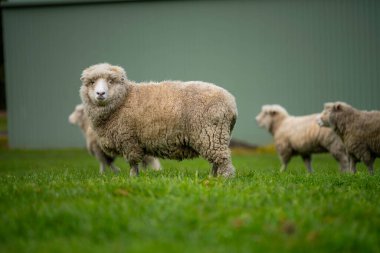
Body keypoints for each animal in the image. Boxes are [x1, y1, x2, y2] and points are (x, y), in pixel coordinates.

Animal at [79, 62, 238, 177]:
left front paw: (132, 178)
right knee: (216, 160)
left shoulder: (129, 140)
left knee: (223, 159)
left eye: (111, 81)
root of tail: (231, 102)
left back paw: (224, 178)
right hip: (215, 136)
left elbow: (133, 162)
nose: (100, 93)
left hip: (211, 133)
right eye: (92, 82)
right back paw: (212, 177)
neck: (124, 98)